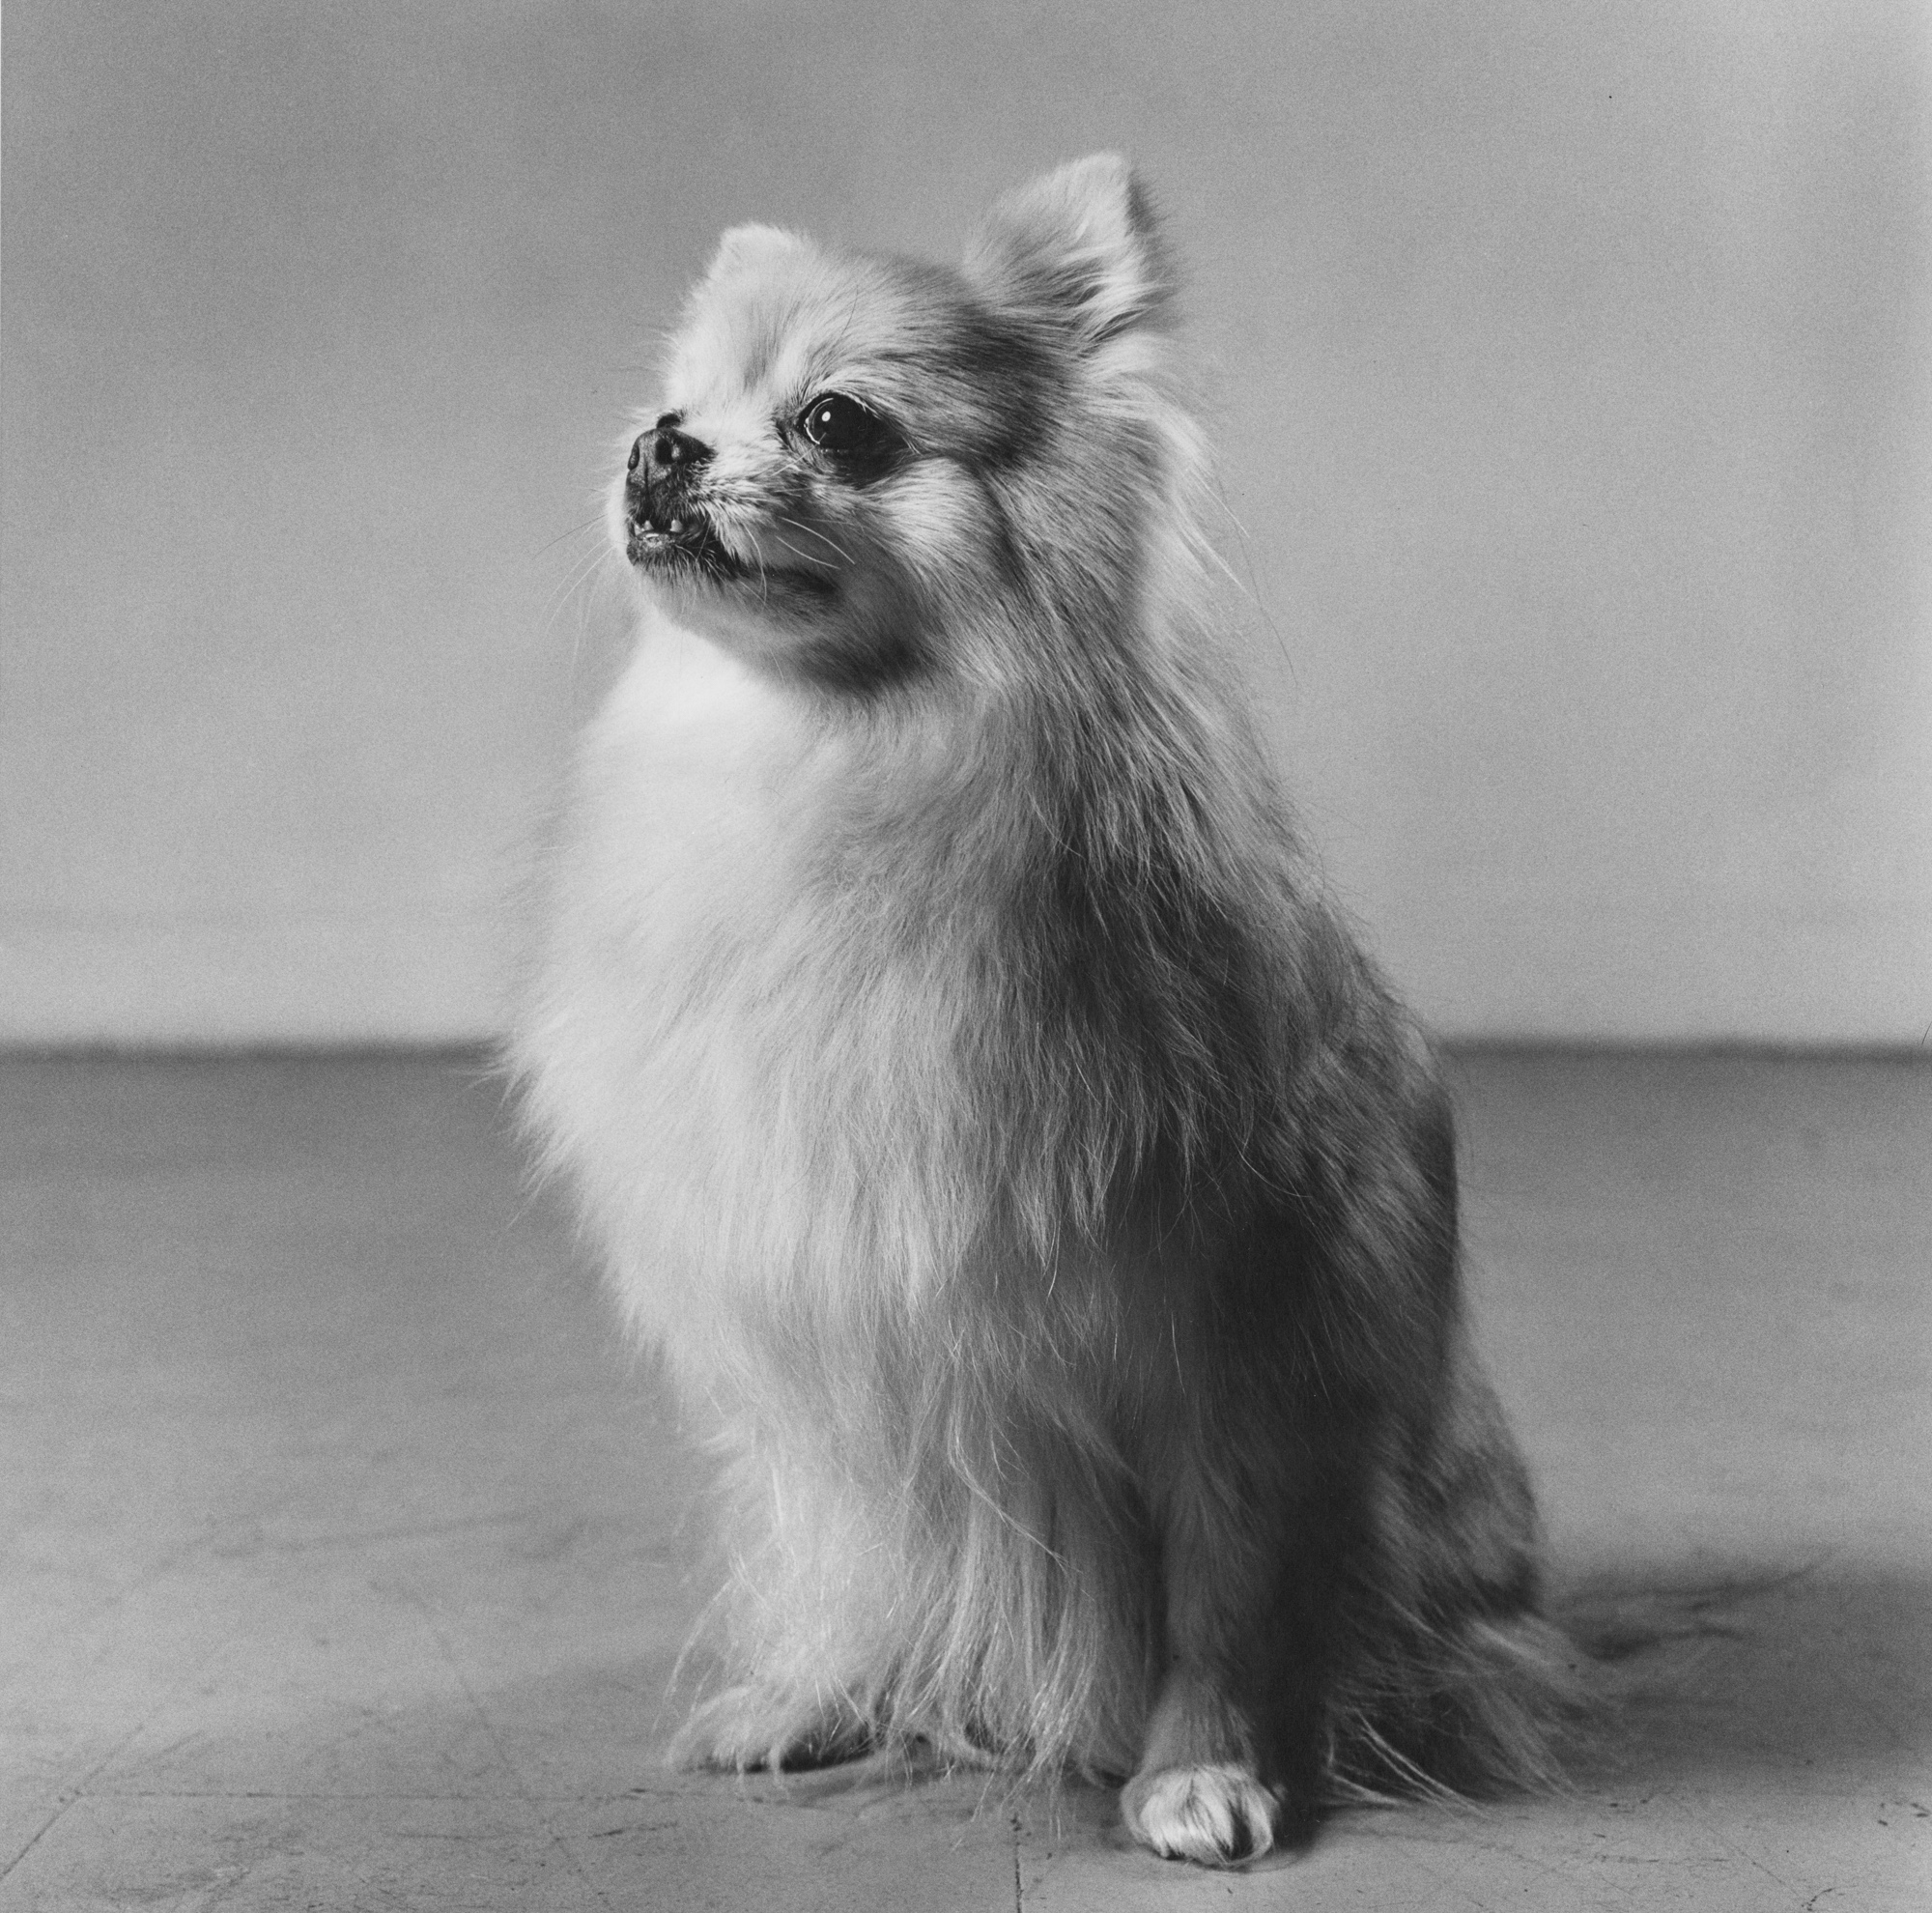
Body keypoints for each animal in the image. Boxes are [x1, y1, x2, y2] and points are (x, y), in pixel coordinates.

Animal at [518, 154, 1569, 1870]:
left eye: (837, 424)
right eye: (674, 405)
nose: (659, 447)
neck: (829, 763)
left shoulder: (1239, 1345)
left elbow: (1225, 1588)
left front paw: (1208, 1771)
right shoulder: (832, 1338)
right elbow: (840, 1543)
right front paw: (814, 1696)